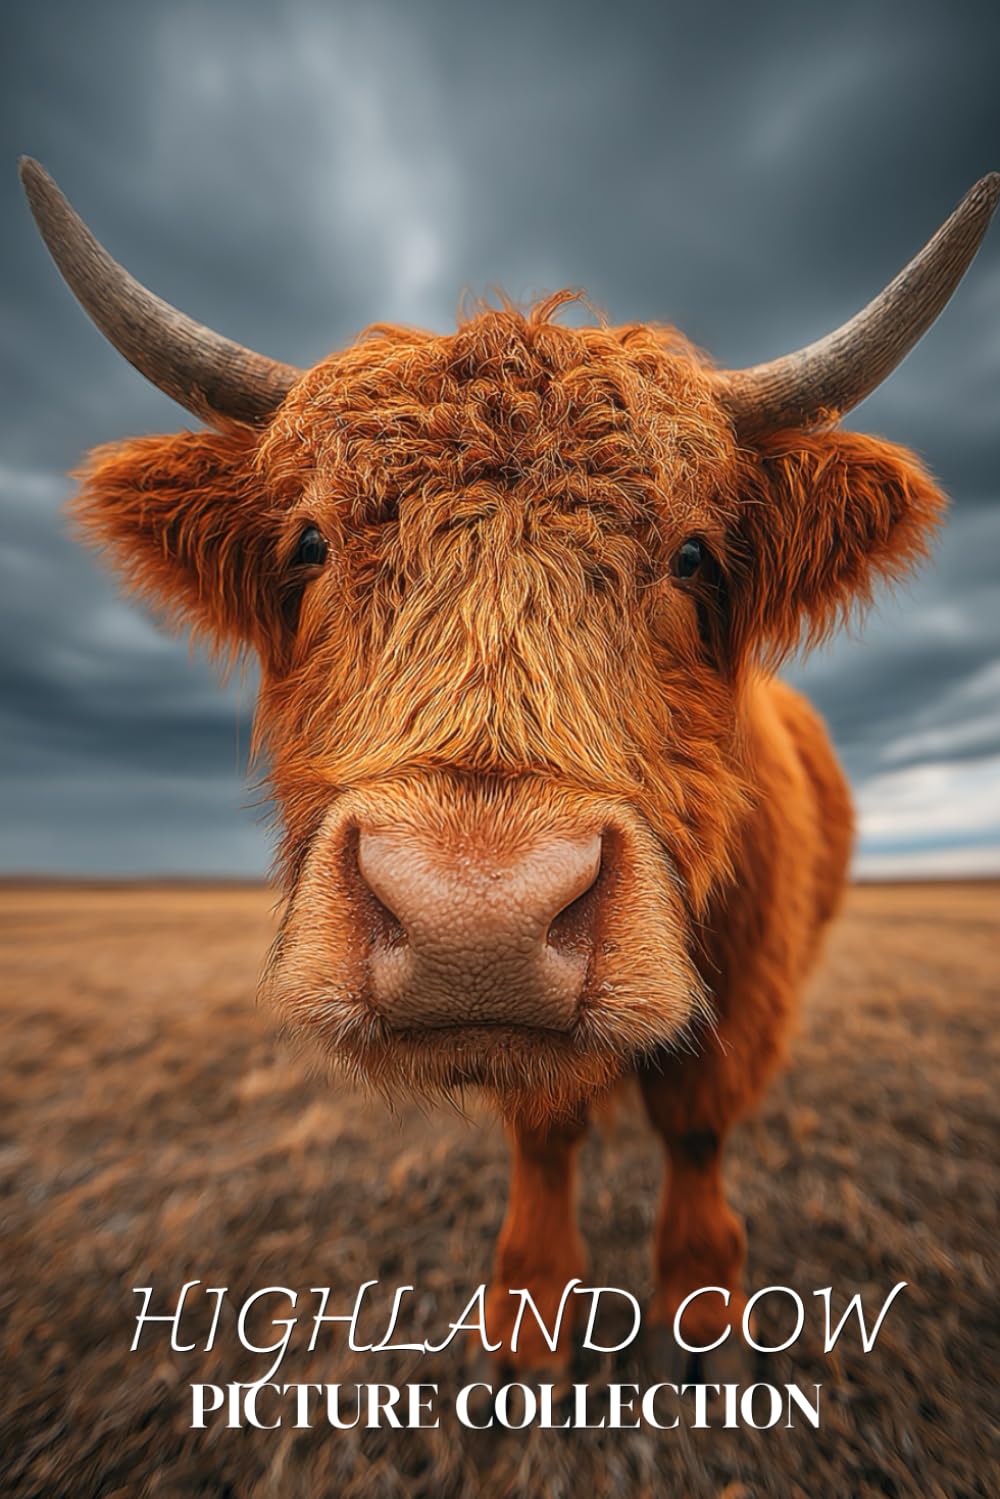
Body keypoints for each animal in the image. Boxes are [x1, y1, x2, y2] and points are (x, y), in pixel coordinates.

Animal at [21, 158, 997, 1376]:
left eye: (693, 556)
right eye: (309, 545)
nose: (473, 921)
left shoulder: (752, 992)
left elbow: (696, 1124)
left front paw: (701, 1302)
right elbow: (546, 1135)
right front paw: (531, 1313)